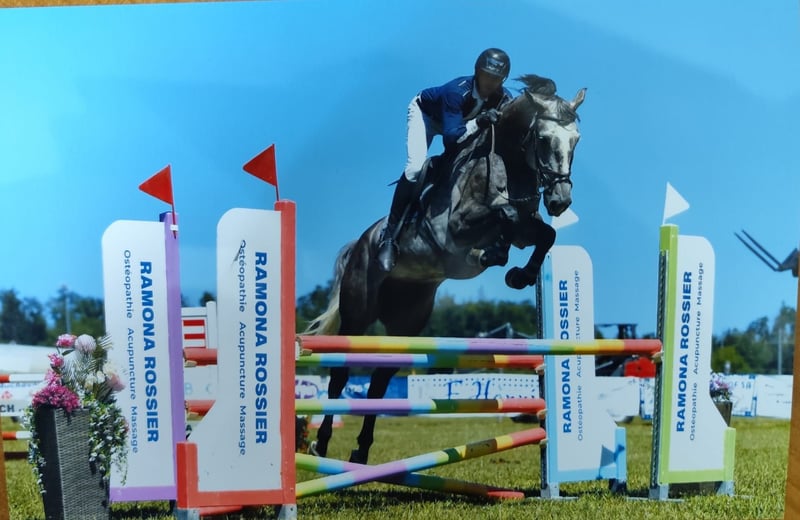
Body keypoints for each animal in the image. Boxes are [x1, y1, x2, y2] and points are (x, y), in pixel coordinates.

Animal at [306, 75, 586, 464]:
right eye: (544, 138)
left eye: (576, 140)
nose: (560, 201)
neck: (508, 164)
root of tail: (359, 244)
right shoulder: (453, 229)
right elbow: (504, 214)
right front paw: (492, 253)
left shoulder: (525, 227)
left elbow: (545, 233)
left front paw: (520, 274)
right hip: (358, 313)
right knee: (340, 374)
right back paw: (320, 445)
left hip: (407, 322)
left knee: (379, 379)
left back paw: (360, 453)